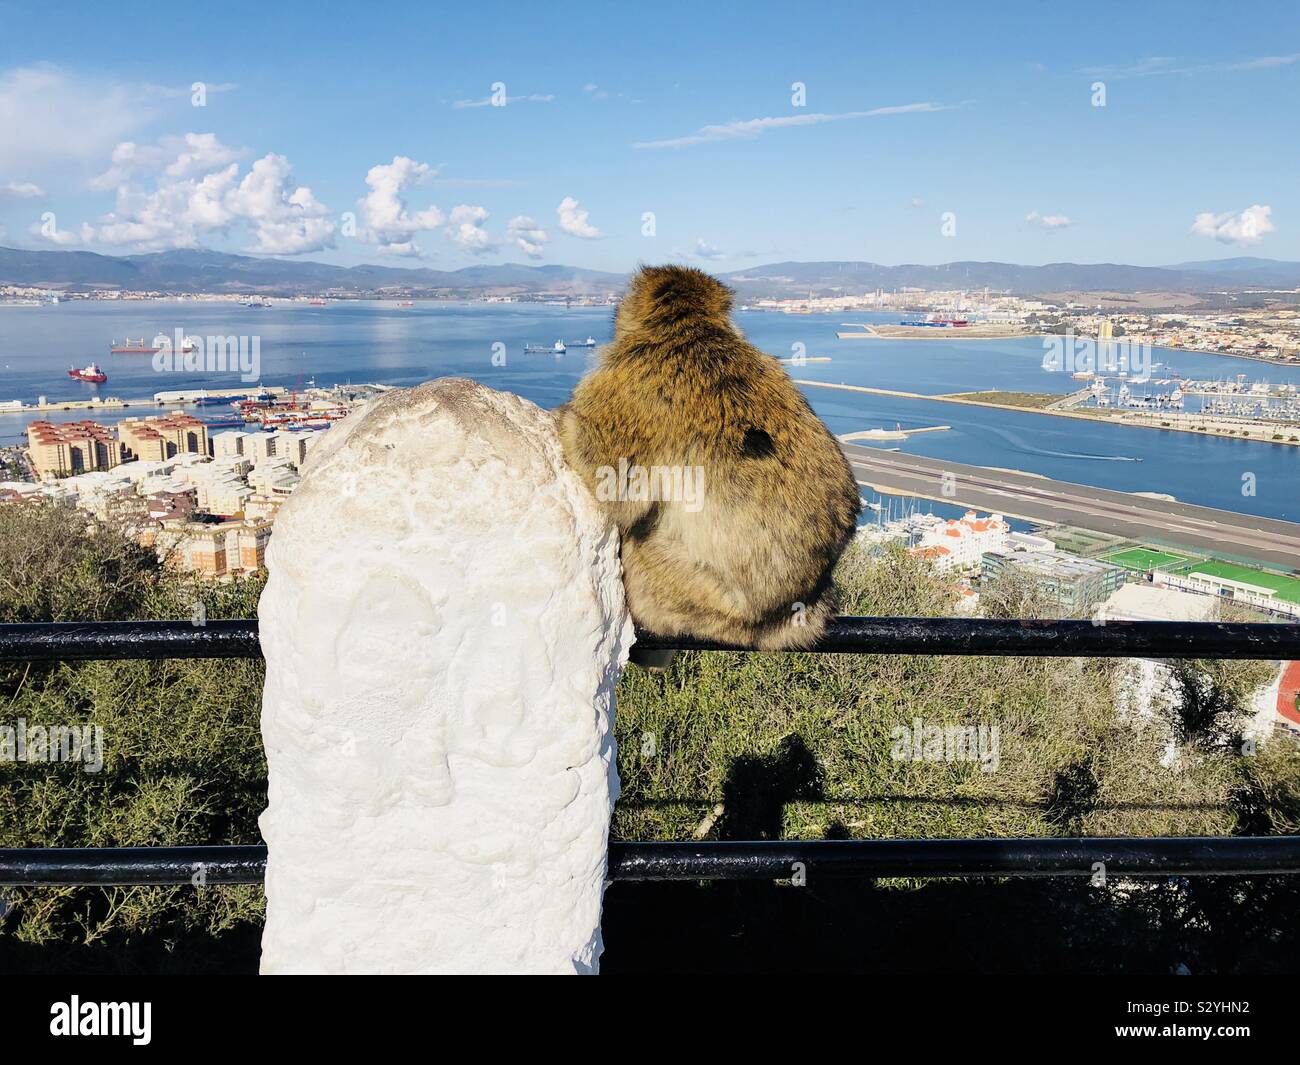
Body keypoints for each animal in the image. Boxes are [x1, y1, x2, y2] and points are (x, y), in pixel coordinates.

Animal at [558, 265, 861, 662]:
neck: (692, 330)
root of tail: (791, 612)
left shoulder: (621, 382)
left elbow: (618, 491)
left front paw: (565, 420)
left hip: (685, 593)